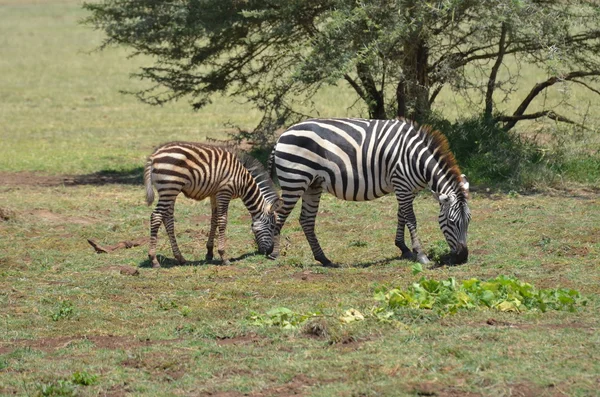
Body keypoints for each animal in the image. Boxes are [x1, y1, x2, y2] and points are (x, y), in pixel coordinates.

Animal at [144, 141, 282, 268]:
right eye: (272, 226)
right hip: (170, 188)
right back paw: (154, 259)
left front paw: (209, 252)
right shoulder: (224, 192)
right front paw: (223, 256)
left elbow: (214, 220)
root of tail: (154, 155)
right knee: (156, 216)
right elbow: (222, 220)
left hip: (170, 190)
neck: (243, 181)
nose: (269, 251)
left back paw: (180, 258)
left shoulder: (214, 194)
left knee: (168, 219)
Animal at [270, 117, 472, 266]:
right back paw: (274, 254)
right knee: (279, 215)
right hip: (295, 180)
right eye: (451, 222)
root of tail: (282, 135)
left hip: (313, 185)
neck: (415, 159)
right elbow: (411, 219)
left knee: (306, 220)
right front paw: (420, 254)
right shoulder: (402, 184)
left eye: (469, 221)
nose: (462, 257)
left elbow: (401, 215)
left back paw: (324, 259)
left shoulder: (408, 188)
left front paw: (403, 248)